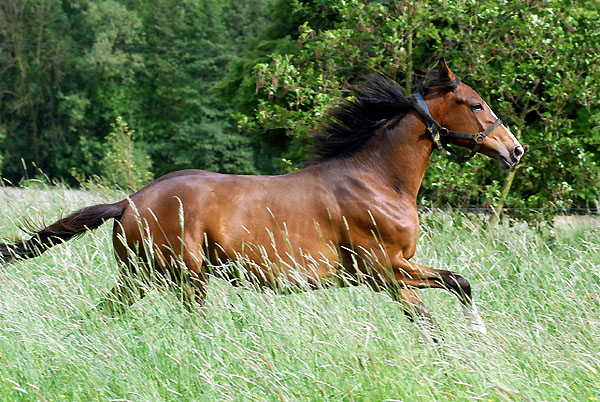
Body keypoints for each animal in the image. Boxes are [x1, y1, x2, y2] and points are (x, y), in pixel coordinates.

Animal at [1, 60, 520, 332]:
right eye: (475, 104)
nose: (515, 150)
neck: (378, 180)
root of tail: (129, 202)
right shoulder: (384, 270)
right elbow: (459, 284)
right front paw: (477, 335)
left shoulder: (396, 275)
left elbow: (435, 315)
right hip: (185, 277)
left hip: (142, 277)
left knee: (102, 314)